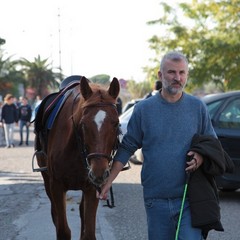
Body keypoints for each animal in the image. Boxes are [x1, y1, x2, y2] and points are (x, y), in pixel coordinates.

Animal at [35, 77, 120, 240]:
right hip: (47, 181)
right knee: (55, 214)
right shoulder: (56, 186)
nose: (99, 172)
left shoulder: (92, 188)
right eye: (83, 124)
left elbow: (89, 232)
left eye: (116, 123)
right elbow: (63, 230)